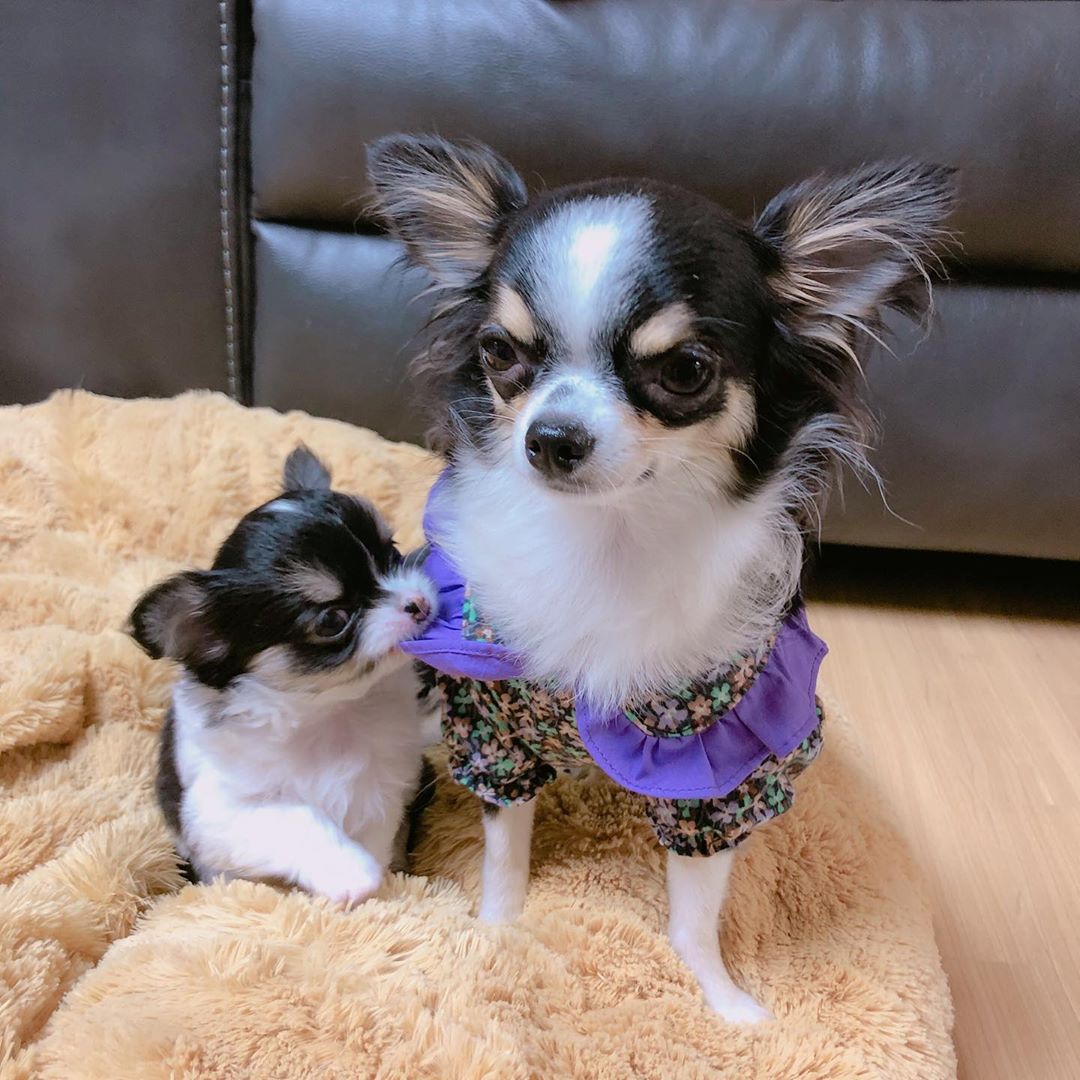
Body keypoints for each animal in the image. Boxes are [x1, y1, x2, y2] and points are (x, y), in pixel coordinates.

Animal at [369, 135, 954, 1019]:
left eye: (684, 370)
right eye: (500, 354)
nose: (550, 437)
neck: (610, 541)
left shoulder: (715, 767)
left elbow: (696, 909)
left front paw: (719, 1000)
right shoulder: (497, 730)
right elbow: (505, 849)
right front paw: (497, 934)